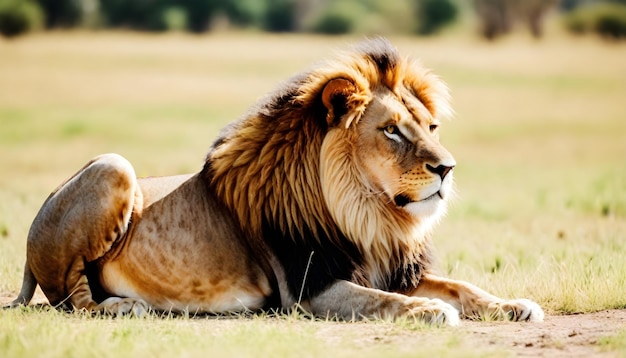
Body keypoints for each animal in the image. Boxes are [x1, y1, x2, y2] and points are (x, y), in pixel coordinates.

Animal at [4, 37, 540, 324]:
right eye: (391, 130)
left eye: (431, 128)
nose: (447, 168)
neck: (369, 215)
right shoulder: (308, 291)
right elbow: (381, 301)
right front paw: (428, 311)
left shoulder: (392, 268)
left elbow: (461, 286)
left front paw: (513, 305)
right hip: (114, 166)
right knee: (73, 300)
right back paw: (122, 307)